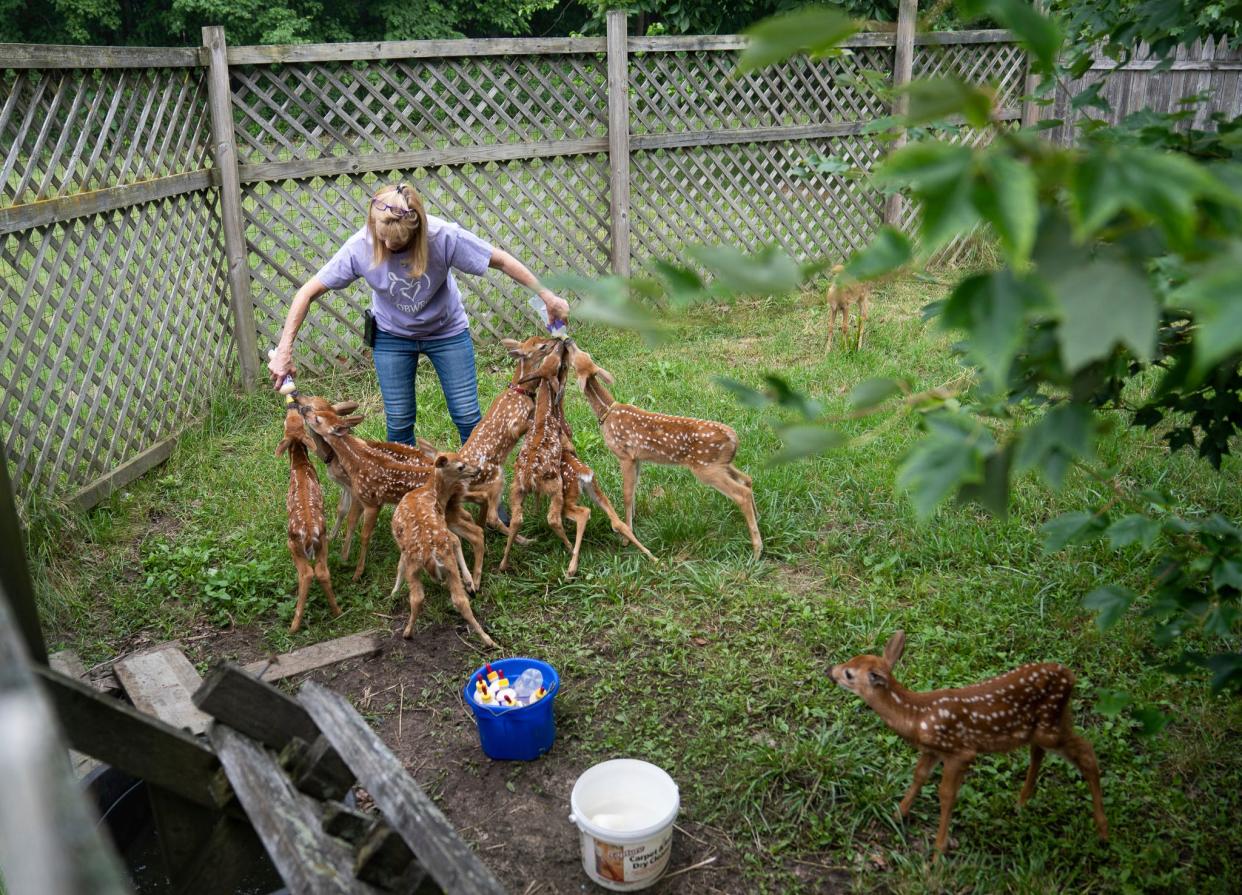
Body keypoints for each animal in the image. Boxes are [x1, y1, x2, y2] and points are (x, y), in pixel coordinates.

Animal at [275, 409, 340, 633]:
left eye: (286, 422)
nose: (293, 409)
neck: (300, 464)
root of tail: (310, 533)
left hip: (292, 543)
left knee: (307, 574)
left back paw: (294, 625)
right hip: (323, 540)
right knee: (322, 571)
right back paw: (337, 611)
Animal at [389, 454, 491, 640]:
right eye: (460, 466)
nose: (478, 469)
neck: (431, 492)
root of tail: (429, 554)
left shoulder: (404, 548)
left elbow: (400, 566)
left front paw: (393, 593)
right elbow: (456, 540)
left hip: (416, 565)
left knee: (417, 598)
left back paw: (407, 632)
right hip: (443, 561)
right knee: (458, 600)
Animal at [568, 345, 760, 558]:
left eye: (574, 358)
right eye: (583, 354)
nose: (567, 341)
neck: (607, 412)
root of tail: (734, 437)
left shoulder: (624, 455)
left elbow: (627, 493)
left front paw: (626, 539)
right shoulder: (638, 458)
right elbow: (634, 490)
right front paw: (633, 522)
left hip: (706, 469)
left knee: (742, 493)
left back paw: (757, 550)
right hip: (720, 464)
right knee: (747, 479)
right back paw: (758, 520)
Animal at [829, 628, 1112, 854]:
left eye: (849, 673)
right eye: (851, 660)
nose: (829, 671)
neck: (917, 716)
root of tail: (1071, 676)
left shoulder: (961, 751)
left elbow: (946, 794)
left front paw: (938, 851)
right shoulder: (932, 750)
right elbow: (919, 775)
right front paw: (897, 814)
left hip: (1049, 726)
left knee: (1086, 751)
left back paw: (1103, 833)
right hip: (1046, 723)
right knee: (1041, 751)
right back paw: (1021, 803)